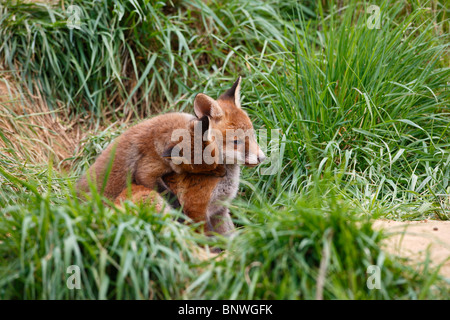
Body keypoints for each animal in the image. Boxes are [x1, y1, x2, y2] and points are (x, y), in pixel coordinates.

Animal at [114, 76, 268, 234]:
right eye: (236, 141)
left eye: (253, 135)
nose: (262, 158)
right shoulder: (195, 208)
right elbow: (208, 237)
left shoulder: (220, 210)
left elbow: (230, 236)